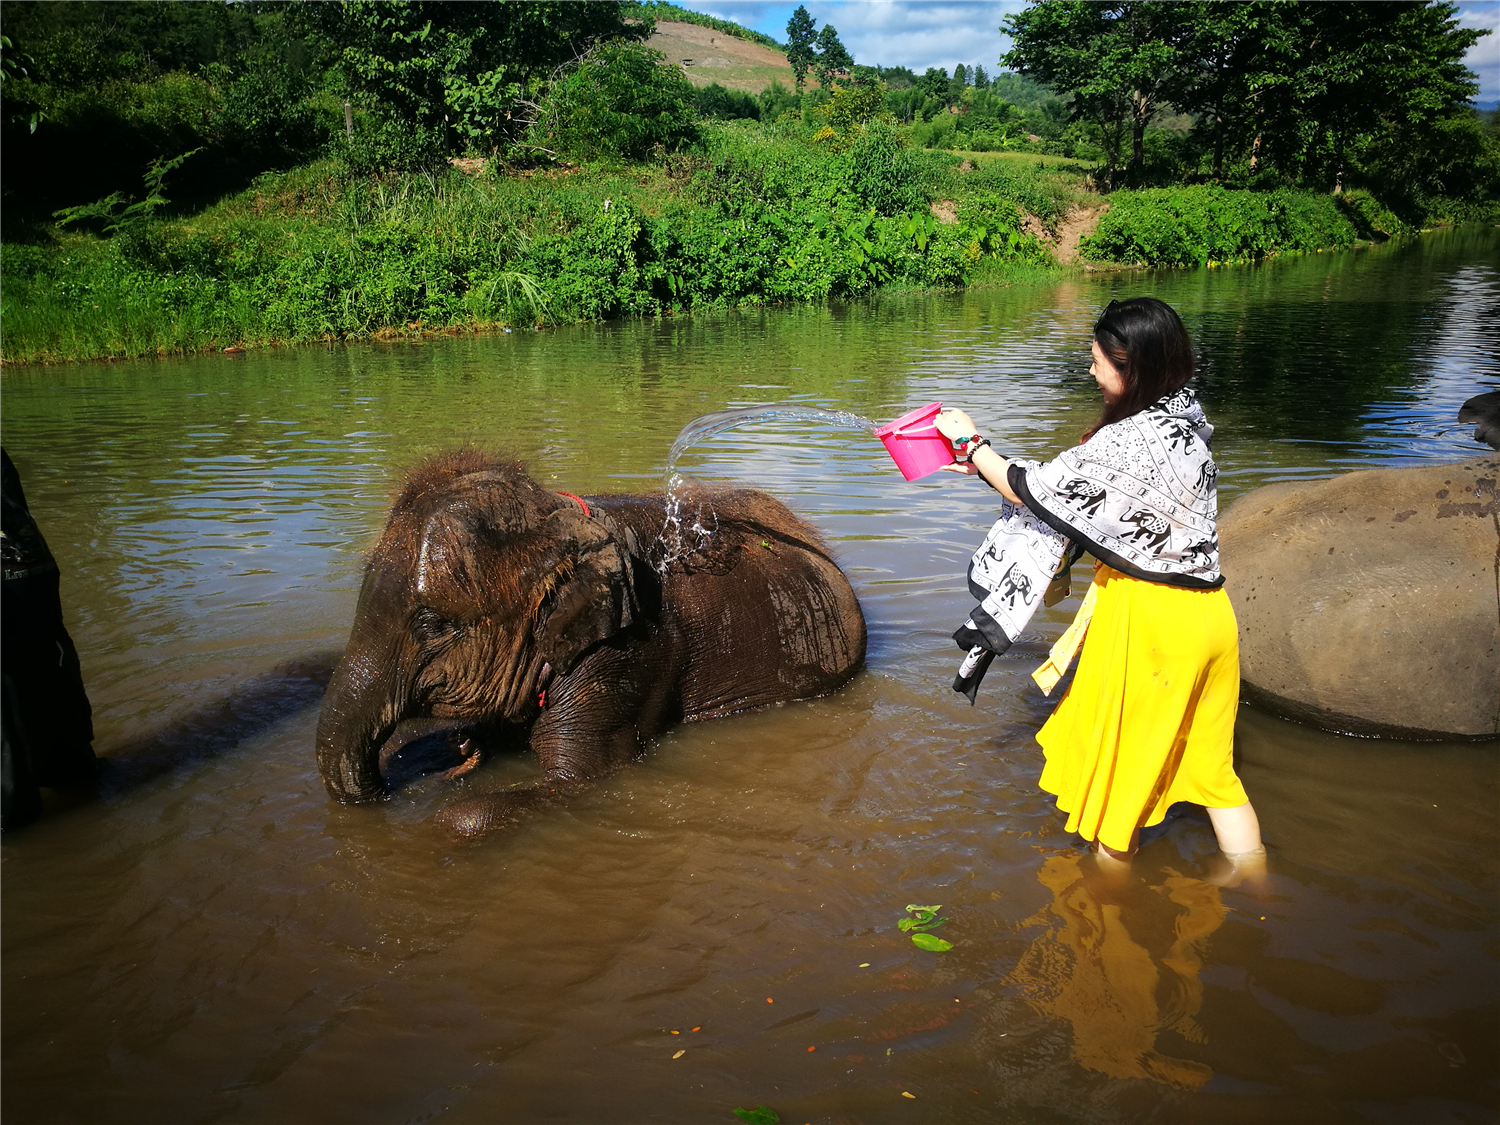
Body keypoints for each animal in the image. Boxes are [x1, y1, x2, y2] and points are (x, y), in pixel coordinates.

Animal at [316, 453, 870, 840]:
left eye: (432, 625)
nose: (395, 784)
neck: (559, 518)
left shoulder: (627, 652)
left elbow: (580, 780)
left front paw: (440, 820)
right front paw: (464, 749)